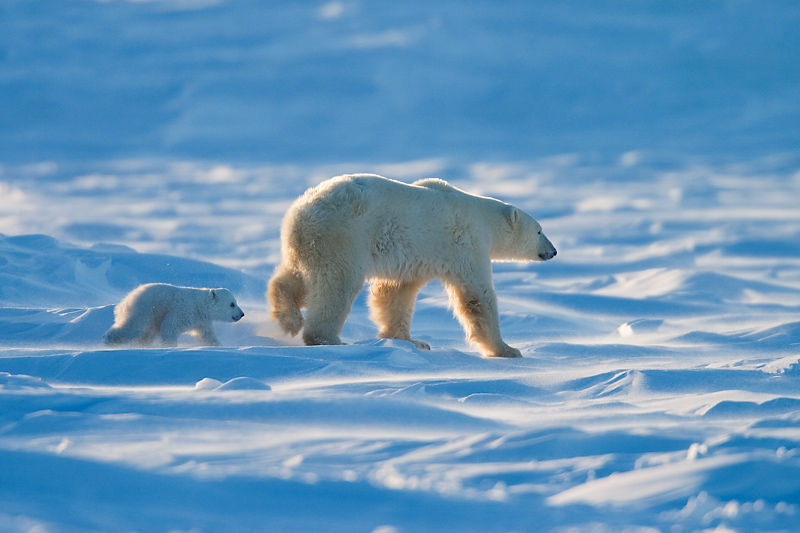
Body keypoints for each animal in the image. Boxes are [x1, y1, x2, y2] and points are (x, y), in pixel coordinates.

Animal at [268, 175, 556, 358]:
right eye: (540, 231)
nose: (553, 251)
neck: (481, 216)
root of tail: (301, 214)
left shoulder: (412, 259)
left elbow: (395, 294)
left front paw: (412, 341)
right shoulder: (466, 245)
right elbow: (477, 296)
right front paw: (508, 350)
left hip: (309, 245)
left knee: (295, 277)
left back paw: (288, 316)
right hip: (342, 236)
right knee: (336, 285)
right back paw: (328, 339)